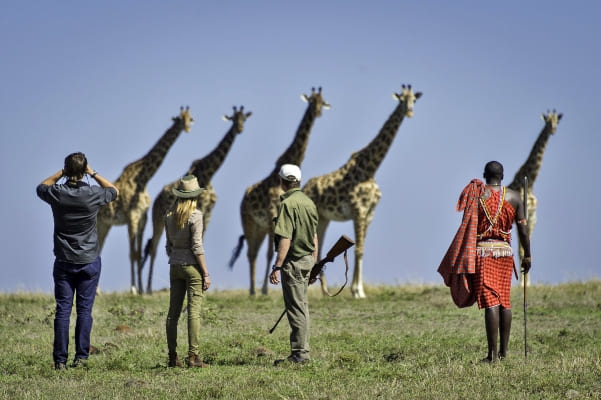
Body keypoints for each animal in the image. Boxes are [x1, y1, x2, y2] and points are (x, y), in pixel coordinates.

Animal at [97, 106, 193, 294]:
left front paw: (141, 289)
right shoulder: (132, 217)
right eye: (180, 119)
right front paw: (134, 290)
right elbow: (132, 254)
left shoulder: (142, 218)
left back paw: (98, 291)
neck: (143, 179)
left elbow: (139, 253)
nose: (187, 128)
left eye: (190, 118)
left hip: (105, 224)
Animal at [143, 106, 251, 294]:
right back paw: (148, 289)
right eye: (234, 119)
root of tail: (156, 199)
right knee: (154, 248)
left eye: (244, 119)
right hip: (157, 219)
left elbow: (201, 241)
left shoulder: (208, 213)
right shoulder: (200, 210)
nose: (240, 129)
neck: (208, 174)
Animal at [229, 86, 330, 294]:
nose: (318, 112)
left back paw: (254, 289)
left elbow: (272, 252)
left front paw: (266, 288)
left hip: (259, 227)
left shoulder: (271, 222)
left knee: (253, 253)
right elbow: (271, 253)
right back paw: (252, 290)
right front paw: (265, 290)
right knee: (251, 254)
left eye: (322, 101)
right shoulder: (272, 218)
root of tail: (243, 198)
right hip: (249, 222)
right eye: (312, 101)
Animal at [300, 84, 422, 296]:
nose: (410, 112)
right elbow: (358, 249)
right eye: (401, 100)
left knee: (319, 248)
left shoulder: (370, 213)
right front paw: (357, 291)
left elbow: (362, 249)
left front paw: (358, 290)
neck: (370, 169)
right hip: (317, 217)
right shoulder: (358, 210)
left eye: (414, 99)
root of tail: (305, 187)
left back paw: (323, 289)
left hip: (324, 218)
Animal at [508, 108, 560, 284]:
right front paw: (524, 284)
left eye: (557, 121)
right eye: (547, 122)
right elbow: (521, 251)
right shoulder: (523, 216)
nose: (553, 130)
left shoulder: (533, 217)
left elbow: (527, 250)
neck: (530, 183)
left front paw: (528, 283)